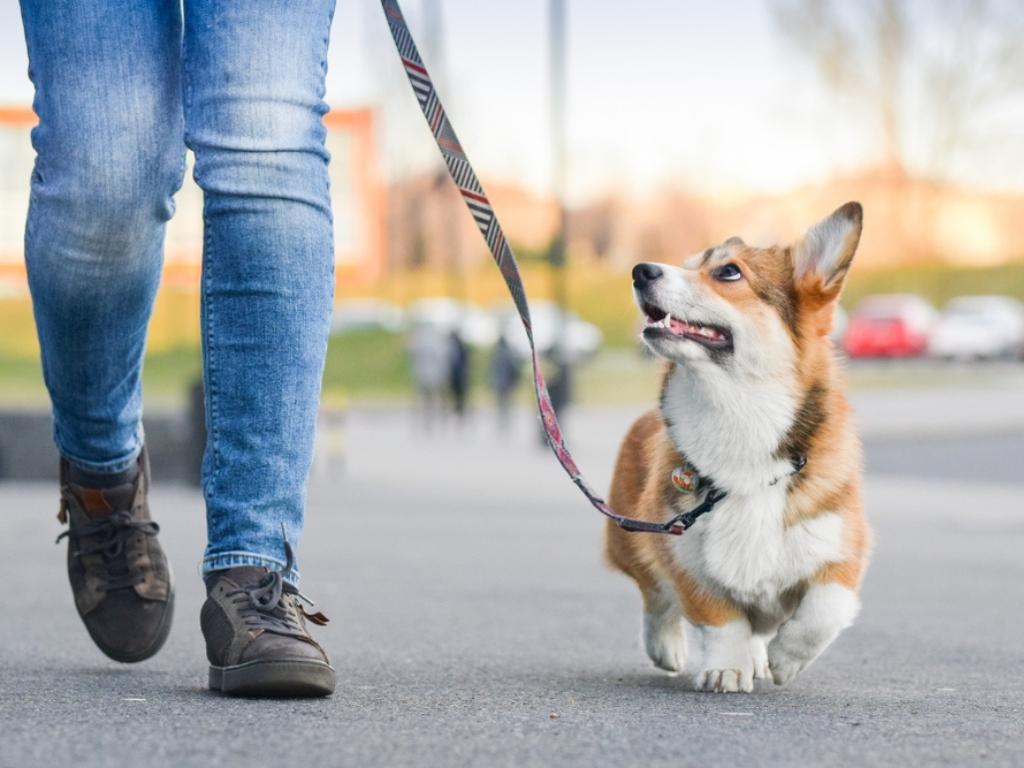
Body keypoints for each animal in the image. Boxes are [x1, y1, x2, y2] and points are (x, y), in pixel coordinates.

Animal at [602, 201, 876, 696]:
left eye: (728, 271)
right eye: (688, 263)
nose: (640, 270)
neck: (739, 415)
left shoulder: (844, 548)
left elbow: (824, 609)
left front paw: (786, 659)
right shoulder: (683, 554)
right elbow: (721, 619)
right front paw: (727, 668)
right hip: (630, 537)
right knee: (655, 596)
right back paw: (668, 646)